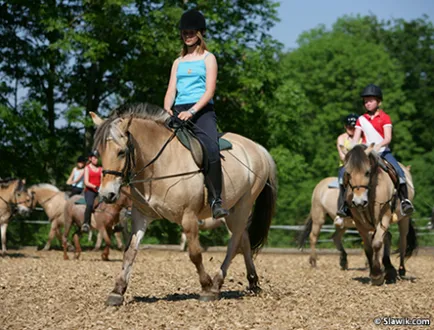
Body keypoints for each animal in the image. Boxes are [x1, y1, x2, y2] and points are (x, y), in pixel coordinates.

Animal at [90, 104, 278, 306]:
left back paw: (216, 284)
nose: (106, 194)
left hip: (244, 205)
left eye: (121, 152)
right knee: (243, 238)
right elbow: (130, 251)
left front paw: (206, 286)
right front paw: (117, 290)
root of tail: (258, 148)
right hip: (233, 209)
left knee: (234, 243)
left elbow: (195, 253)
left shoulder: (189, 216)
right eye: (99, 153)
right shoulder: (141, 215)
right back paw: (252, 282)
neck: (159, 164)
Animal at [340, 144, 416, 286]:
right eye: (348, 173)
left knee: (402, 241)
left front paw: (377, 275)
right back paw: (389, 269)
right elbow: (369, 247)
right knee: (388, 237)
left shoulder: (384, 216)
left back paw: (401, 270)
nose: (359, 202)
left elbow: (376, 243)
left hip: (404, 219)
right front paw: (376, 273)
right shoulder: (360, 223)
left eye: (367, 172)